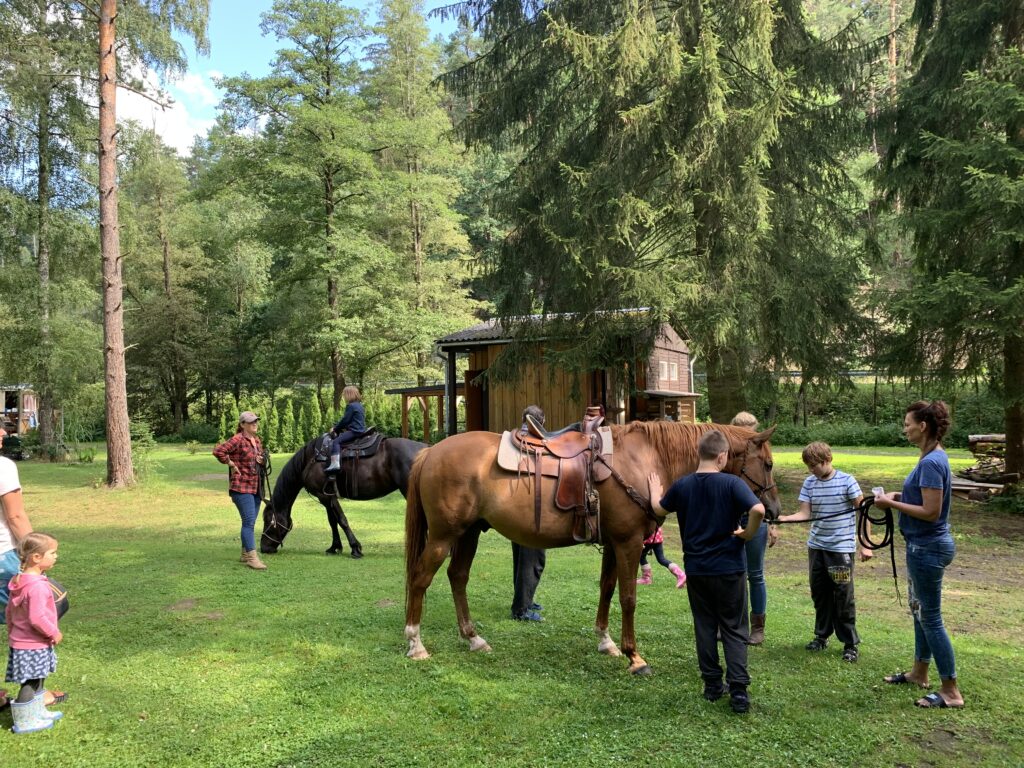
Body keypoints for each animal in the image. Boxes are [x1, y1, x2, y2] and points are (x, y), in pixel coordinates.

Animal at [264, 436, 428, 557]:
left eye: (268, 520)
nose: (264, 547)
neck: (311, 461)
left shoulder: (324, 496)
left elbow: (342, 520)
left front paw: (355, 548)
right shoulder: (326, 498)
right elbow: (332, 521)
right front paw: (334, 547)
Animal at [403, 417, 778, 675]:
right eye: (768, 464)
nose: (773, 511)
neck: (644, 460)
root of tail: (431, 451)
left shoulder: (614, 544)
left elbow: (607, 589)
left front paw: (606, 641)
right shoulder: (628, 543)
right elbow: (628, 598)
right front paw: (634, 656)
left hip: (468, 533)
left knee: (458, 577)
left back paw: (473, 638)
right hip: (443, 536)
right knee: (420, 579)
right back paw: (415, 643)